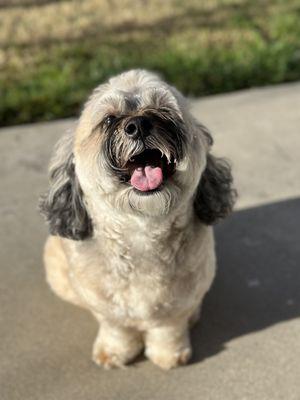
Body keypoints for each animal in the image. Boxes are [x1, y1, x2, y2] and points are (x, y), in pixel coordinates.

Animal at [39, 69, 237, 368]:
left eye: (164, 110)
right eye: (109, 119)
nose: (139, 124)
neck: (142, 230)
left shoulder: (177, 306)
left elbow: (168, 330)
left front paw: (169, 355)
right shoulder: (108, 310)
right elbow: (117, 329)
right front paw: (115, 352)